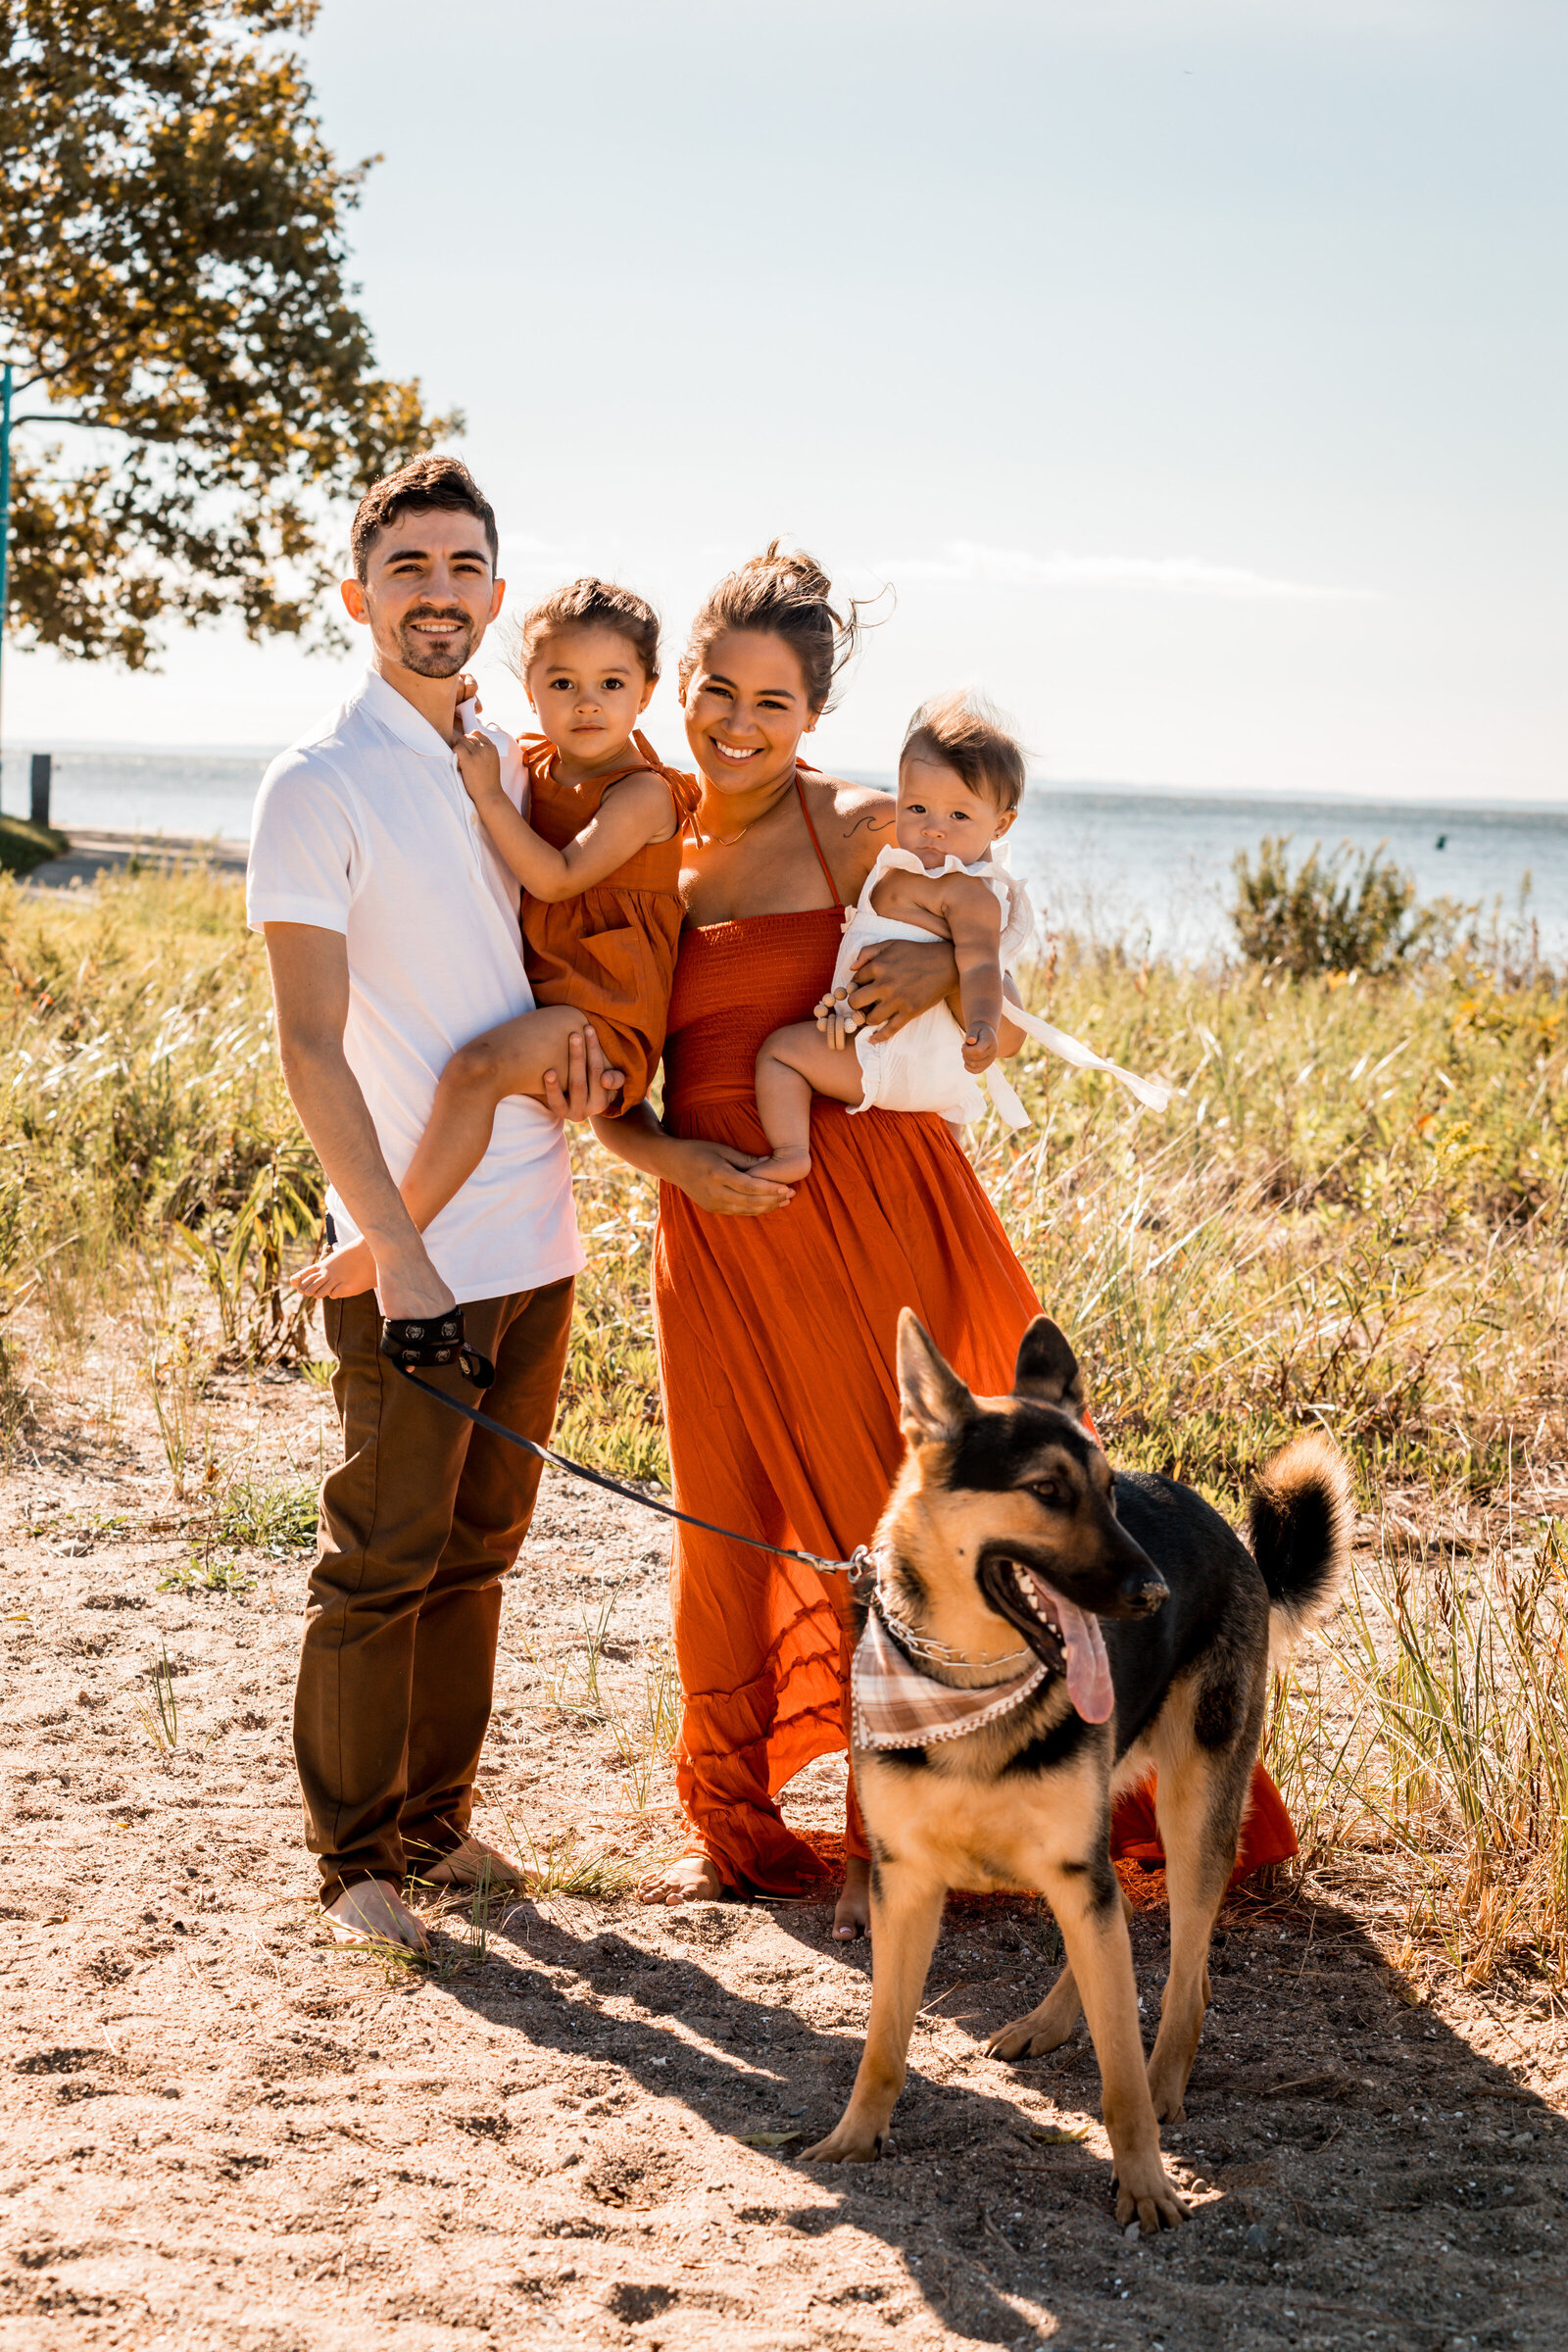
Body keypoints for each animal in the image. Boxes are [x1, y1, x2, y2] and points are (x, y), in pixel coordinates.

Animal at [804, 1317, 1353, 2230]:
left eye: (1105, 1491)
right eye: (1047, 1491)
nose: (1153, 1592)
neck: (969, 1689)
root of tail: (1230, 1539)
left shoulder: (1072, 1867)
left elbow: (1121, 2070)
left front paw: (1146, 2184)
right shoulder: (906, 1882)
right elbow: (883, 2041)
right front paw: (853, 2139)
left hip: (1194, 1813)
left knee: (1184, 1976)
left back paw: (1167, 2078)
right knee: (1118, 1938)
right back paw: (1050, 2020)